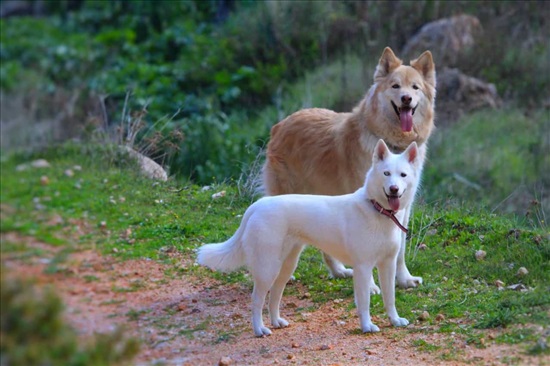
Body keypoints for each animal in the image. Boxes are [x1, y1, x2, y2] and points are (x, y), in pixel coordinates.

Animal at [198, 141, 422, 338]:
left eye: (403, 175)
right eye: (386, 173)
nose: (394, 189)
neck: (378, 210)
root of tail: (257, 205)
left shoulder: (388, 265)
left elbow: (390, 298)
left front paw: (395, 320)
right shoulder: (363, 267)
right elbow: (365, 302)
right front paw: (367, 326)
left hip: (286, 266)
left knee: (275, 295)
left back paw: (276, 322)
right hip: (267, 268)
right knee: (256, 300)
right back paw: (259, 330)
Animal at [260, 48, 438, 288]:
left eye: (415, 87)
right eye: (395, 86)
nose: (406, 99)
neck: (392, 143)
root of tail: (279, 126)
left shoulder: (402, 207)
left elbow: (400, 248)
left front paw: (403, 279)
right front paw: (370, 286)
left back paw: (339, 271)